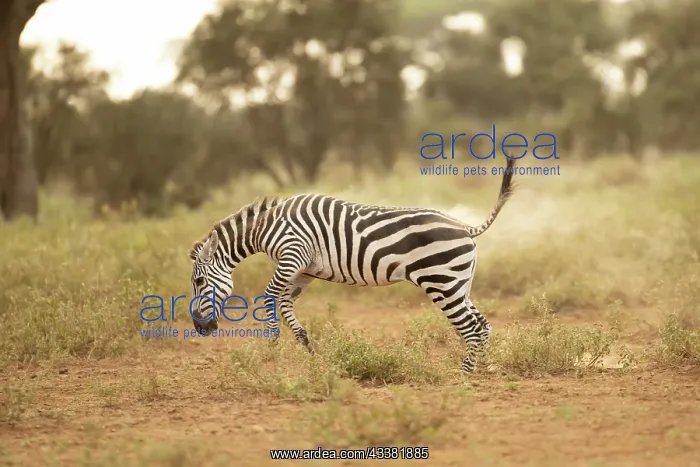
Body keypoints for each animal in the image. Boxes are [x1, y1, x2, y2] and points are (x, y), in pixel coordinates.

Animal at [189, 158, 516, 373]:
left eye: (199, 282)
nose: (200, 328)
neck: (268, 226)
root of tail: (465, 227)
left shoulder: (292, 254)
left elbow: (268, 296)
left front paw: (271, 344)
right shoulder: (303, 269)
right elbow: (284, 302)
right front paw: (306, 344)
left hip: (442, 283)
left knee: (471, 328)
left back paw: (463, 377)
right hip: (458, 284)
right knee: (483, 326)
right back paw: (483, 368)